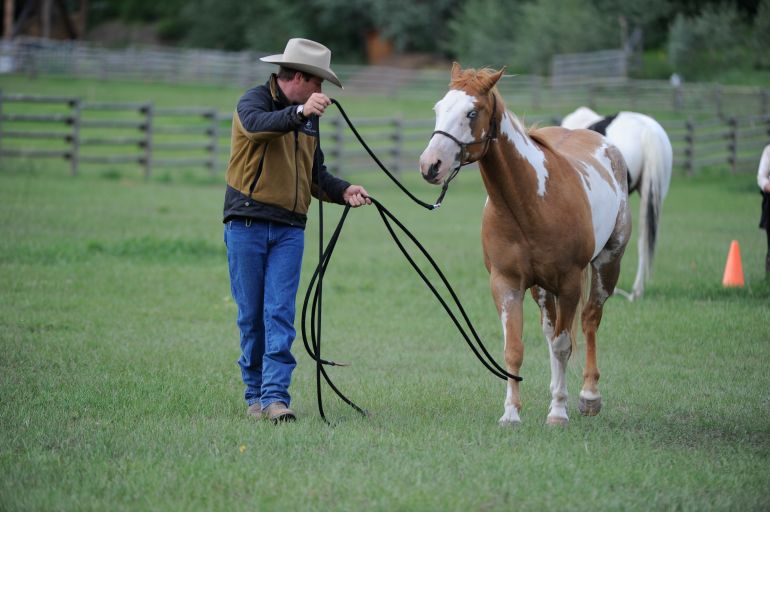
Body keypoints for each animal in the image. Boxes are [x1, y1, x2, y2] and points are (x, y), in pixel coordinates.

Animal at [419, 64, 631, 427]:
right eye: (438, 108)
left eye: (472, 112)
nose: (430, 165)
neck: (529, 203)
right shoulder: (507, 284)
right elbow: (514, 350)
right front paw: (511, 413)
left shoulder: (569, 283)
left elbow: (563, 345)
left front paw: (558, 412)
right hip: (542, 289)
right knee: (550, 330)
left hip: (607, 264)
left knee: (589, 320)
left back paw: (588, 397)